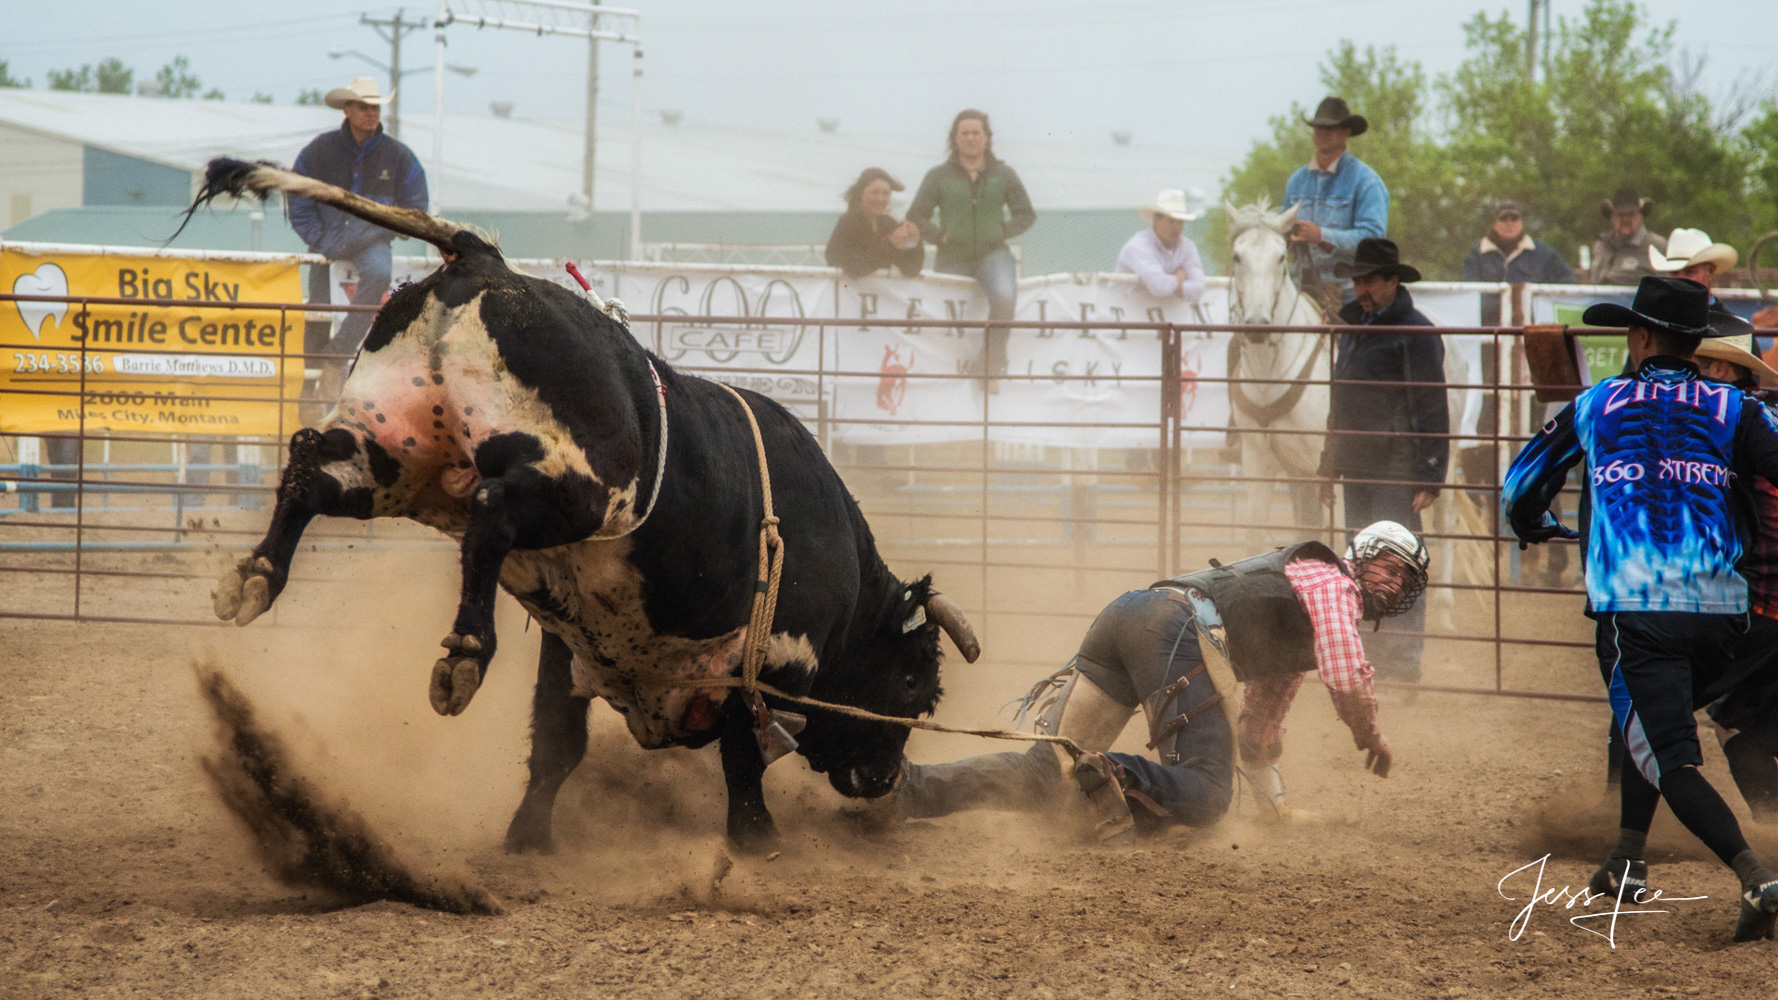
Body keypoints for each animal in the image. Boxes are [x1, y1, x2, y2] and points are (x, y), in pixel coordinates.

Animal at [194, 155, 988, 846]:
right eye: (914, 684)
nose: (885, 778)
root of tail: (485, 260)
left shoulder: (574, 648)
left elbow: (558, 745)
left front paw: (527, 839)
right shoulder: (766, 665)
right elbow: (741, 758)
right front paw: (757, 843)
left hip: (390, 453)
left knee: (309, 467)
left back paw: (255, 578)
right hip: (575, 487)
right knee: (490, 512)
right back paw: (464, 656)